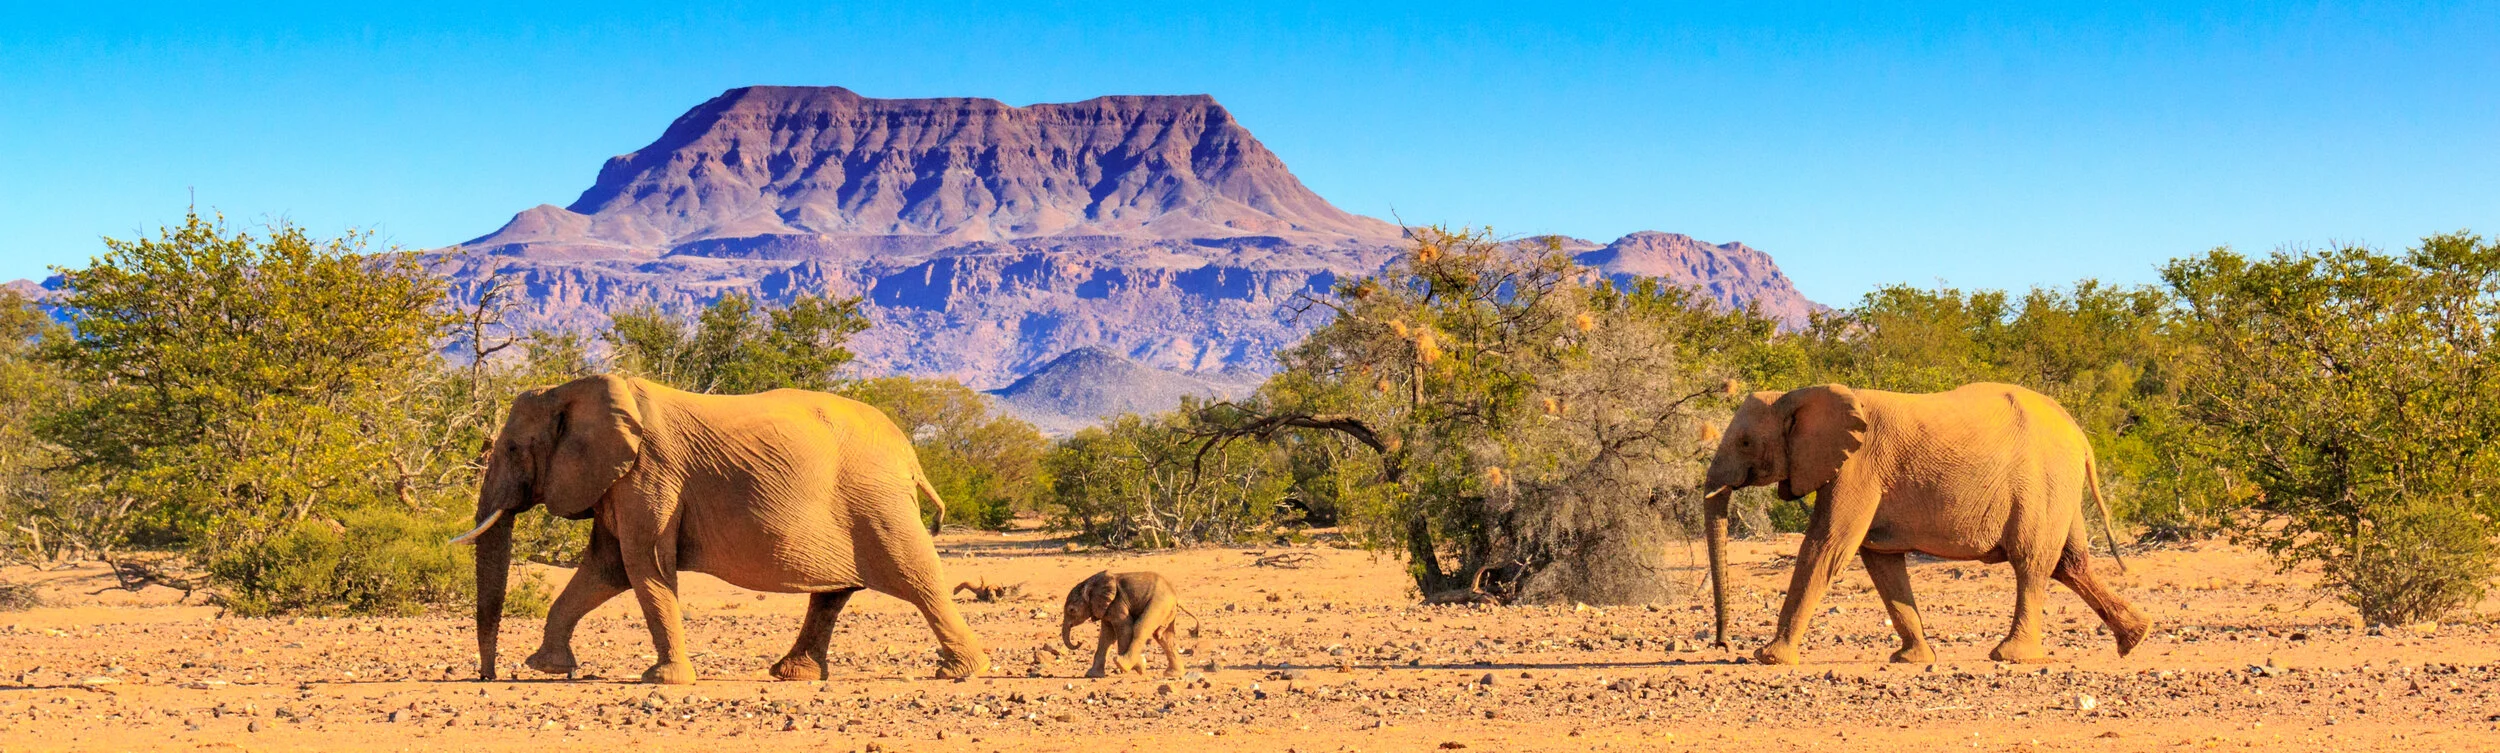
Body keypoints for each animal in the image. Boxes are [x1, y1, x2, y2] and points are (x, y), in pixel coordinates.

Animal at [451, 374, 989, 684]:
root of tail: (910, 452)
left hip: (878, 503)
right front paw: (547, 667)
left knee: (918, 578)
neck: (571, 390)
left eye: (512, 449)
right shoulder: (620, 481)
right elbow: (606, 569)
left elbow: (643, 566)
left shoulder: (650, 473)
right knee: (834, 593)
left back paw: (961, 671)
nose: (488, 678)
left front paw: (662, 680)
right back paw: (793, 674)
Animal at [1060, 571, 1201, 678]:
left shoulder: (1117, 603)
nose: (1079, 642)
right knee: (1163, 637)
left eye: (1071, 610)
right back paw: (1173, 674)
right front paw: (1091, 675)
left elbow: (1125, 629)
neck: (1092, 582)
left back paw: (1123, 663)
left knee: (1141, 627)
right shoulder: (1106, 608)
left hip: (1159, 603)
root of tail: (1176, 597)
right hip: (1167, 610)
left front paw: (1137, 667)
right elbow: (1106, 636)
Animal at [1696, 382, 2151, 666]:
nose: (1723, 644)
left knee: (2032, 562)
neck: (1801, 394)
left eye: (1745, 442)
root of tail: (2080, 434)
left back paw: (2010, 655)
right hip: (2059, 486)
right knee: (2070, 564)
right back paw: (2136, 638)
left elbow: (1827, 548)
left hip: (2043, 480)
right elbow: (1881, 561)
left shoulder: (1858, 465)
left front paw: (1769, 658)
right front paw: (1911, 660)